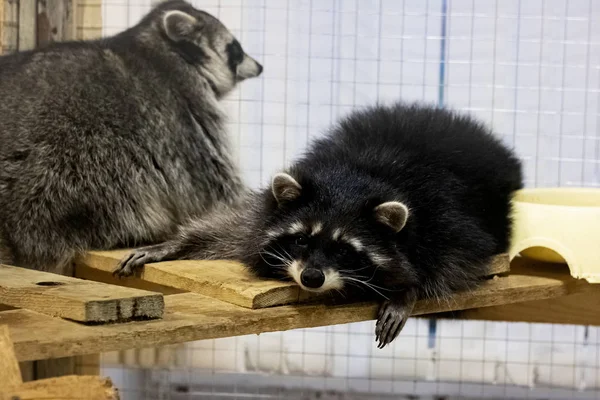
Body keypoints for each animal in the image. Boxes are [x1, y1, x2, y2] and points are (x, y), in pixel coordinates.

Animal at [0, 0, 262, 274]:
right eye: (236, 49)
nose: (260, 66)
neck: (154, 43)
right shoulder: (187, 113)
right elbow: (216, 186)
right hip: (71, 173)